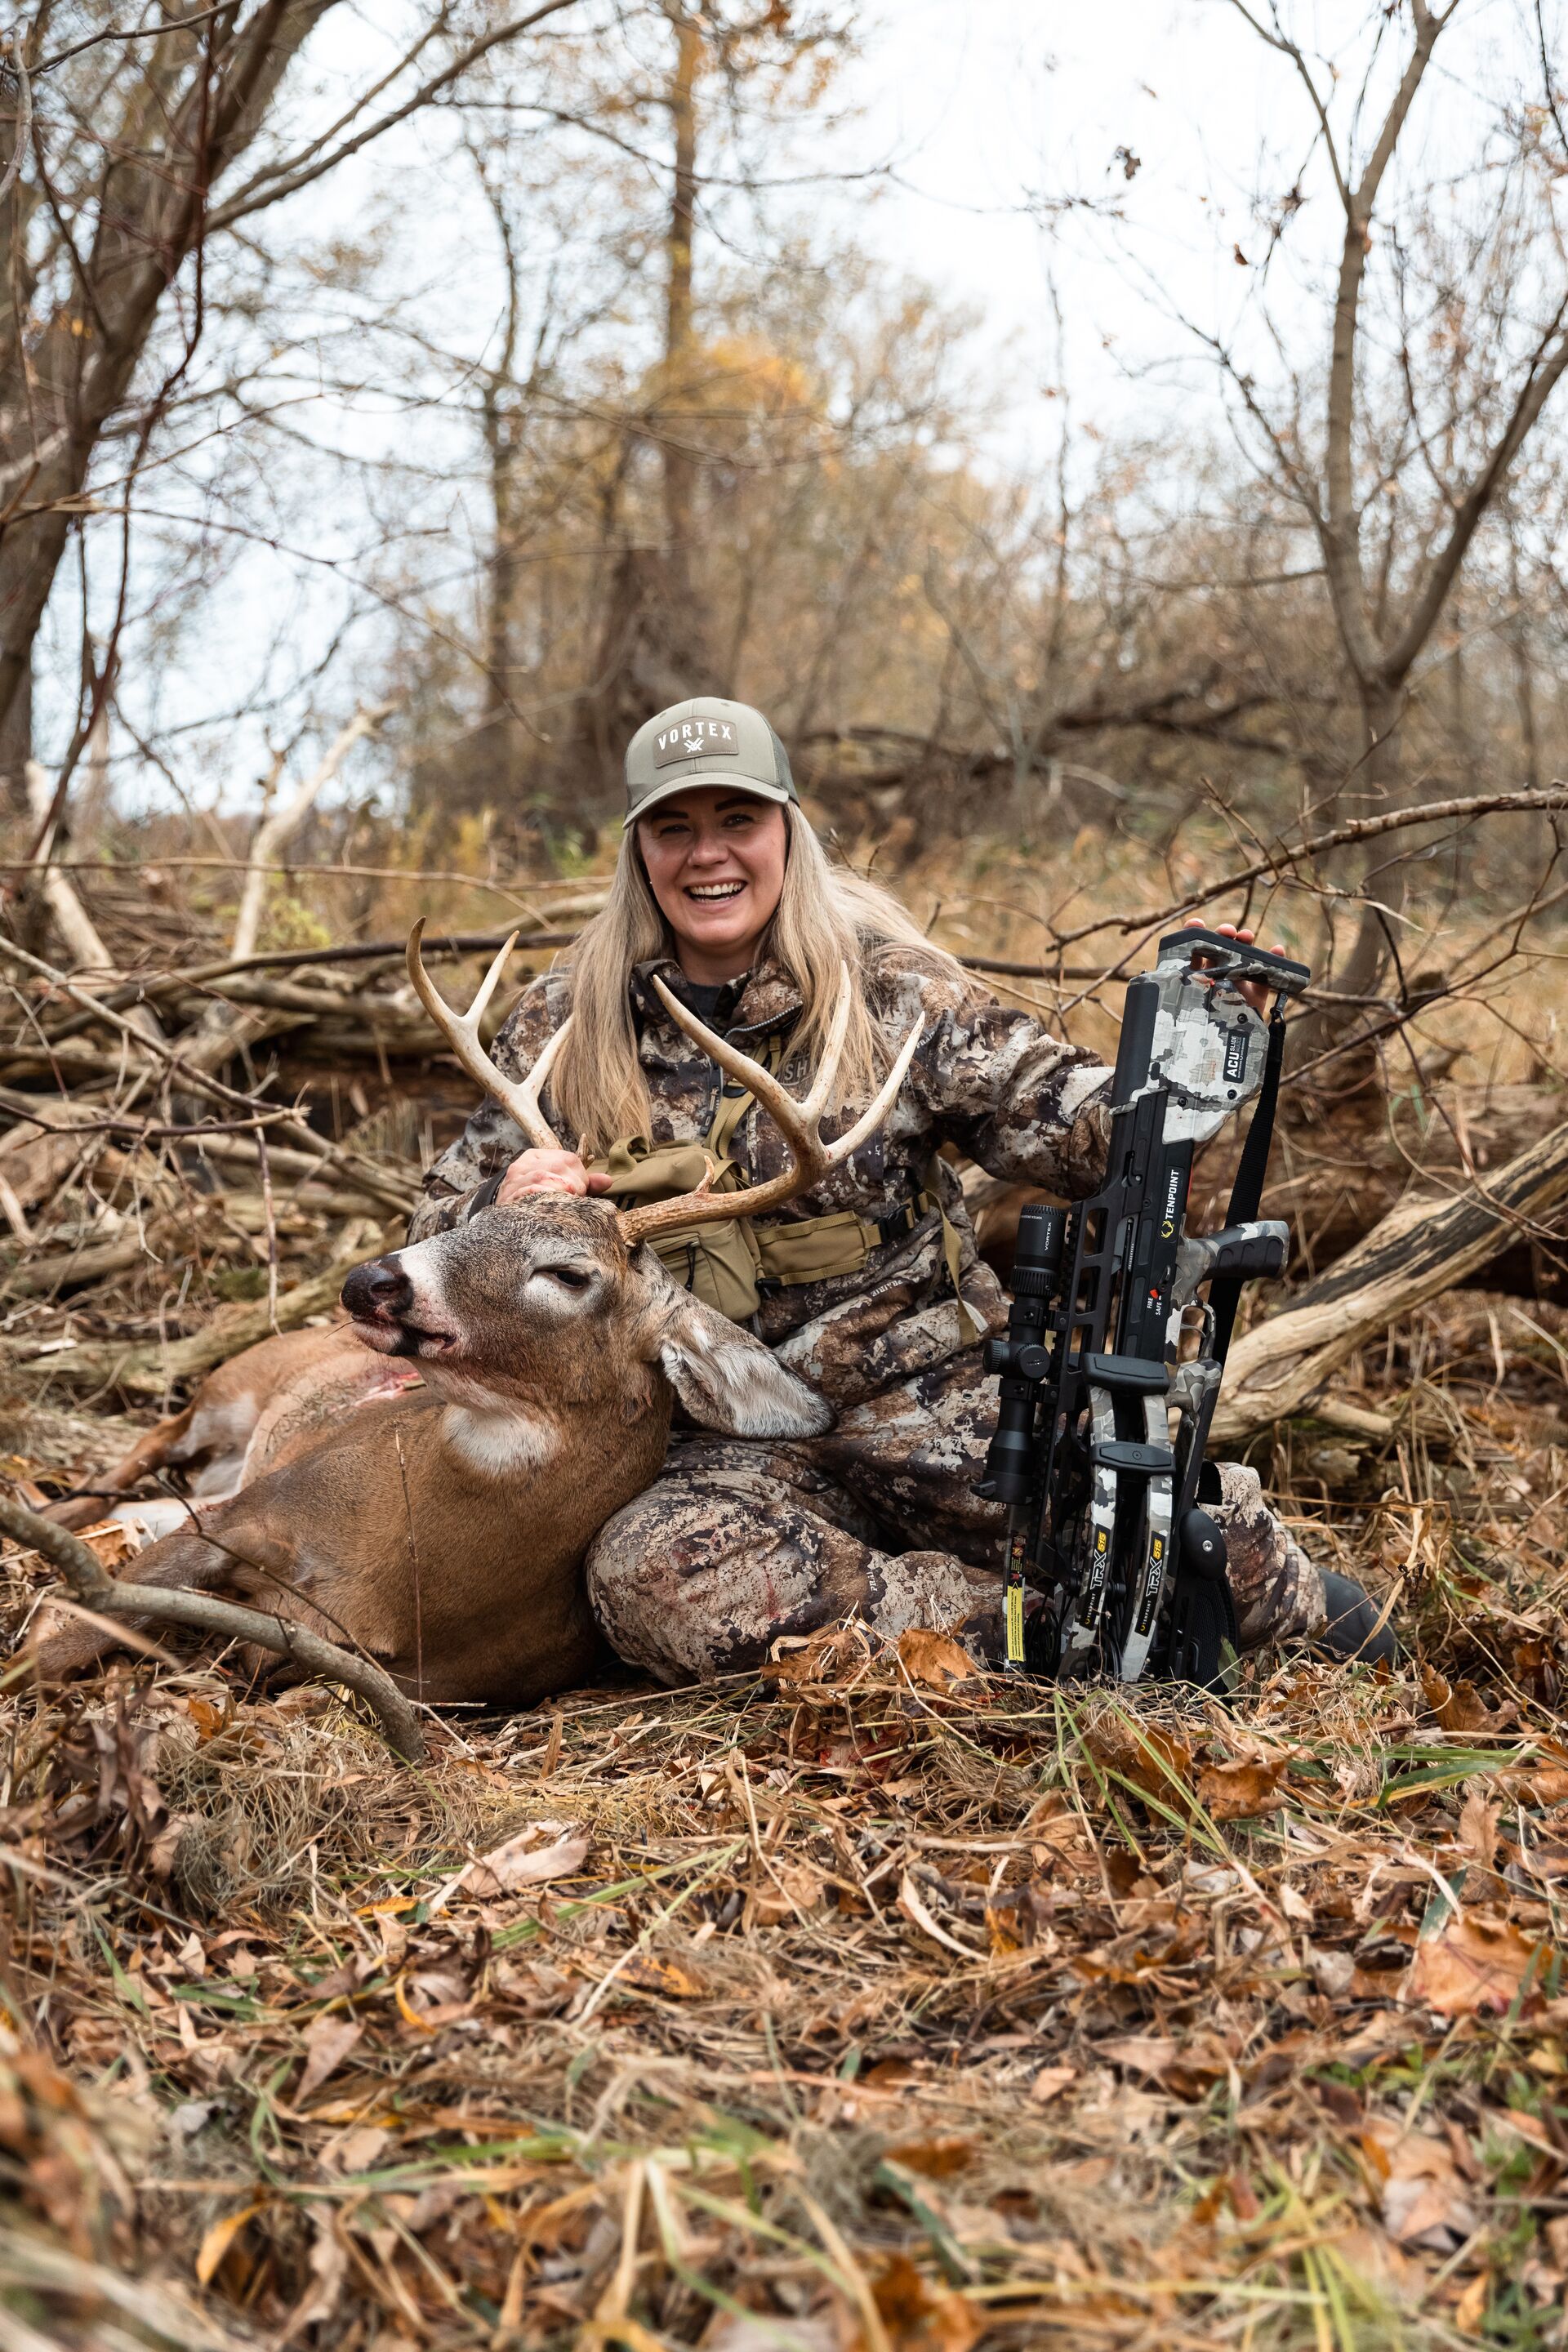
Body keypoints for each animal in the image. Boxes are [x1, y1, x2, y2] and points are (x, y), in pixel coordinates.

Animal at [30, 926, 922, 1710]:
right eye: (482, 1216)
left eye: (568, 1273)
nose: (369, 1282)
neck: (407, 1574)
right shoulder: (247, 1517)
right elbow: (66, 1639)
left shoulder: (435, 1680)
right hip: (230, 1391)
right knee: (142, 1449)